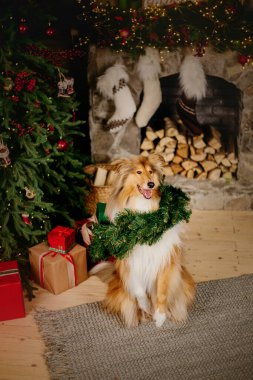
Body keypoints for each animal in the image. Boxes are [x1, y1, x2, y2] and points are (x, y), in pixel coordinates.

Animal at [91, 154, 196, 326]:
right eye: (139, 172)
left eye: (151, 172)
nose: (151, 184)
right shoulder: (130, 262)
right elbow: (138, 290)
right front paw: (146, 306)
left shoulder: (165, 260)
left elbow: (162, 290)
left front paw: (160, 316)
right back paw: (142, 314)